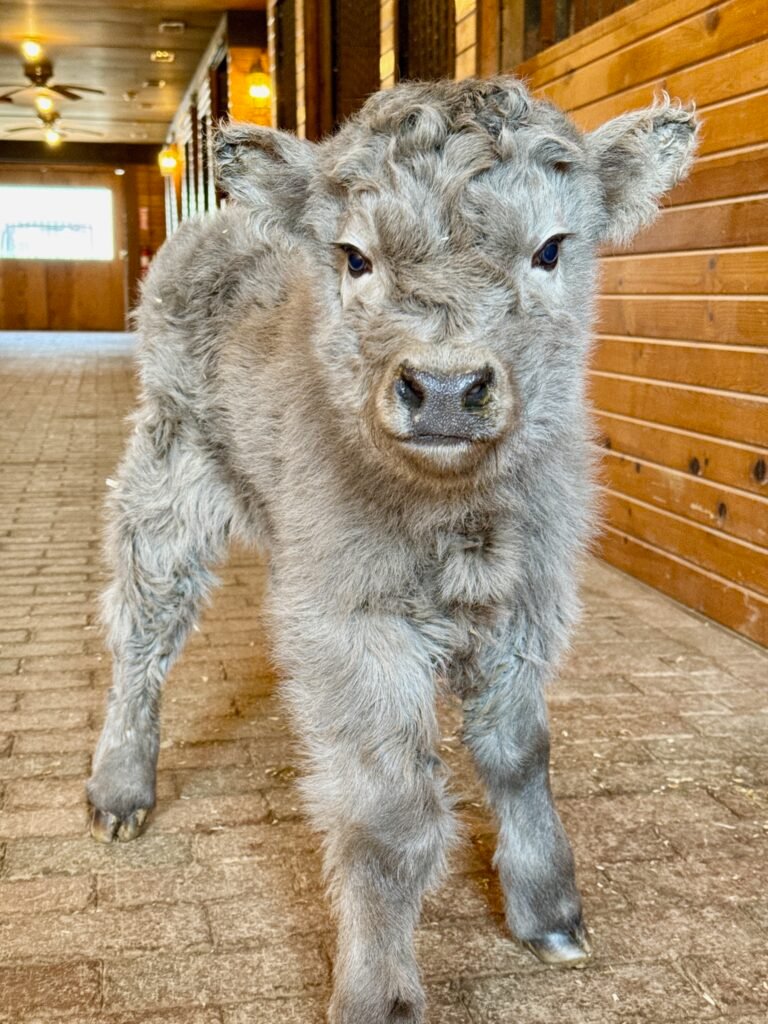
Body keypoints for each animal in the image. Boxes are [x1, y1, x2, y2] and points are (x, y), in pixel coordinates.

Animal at [86, 77, 697, 1024]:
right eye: (354, 258)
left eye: (551, 249)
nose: (444, 386)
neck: (455, 517)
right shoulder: (356, 628)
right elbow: (390, 816)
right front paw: (378, 989)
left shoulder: (529, 603)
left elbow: (519, 751)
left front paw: (549, 910)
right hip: (166, 488)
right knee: (140, 637)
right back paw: (121, 788)